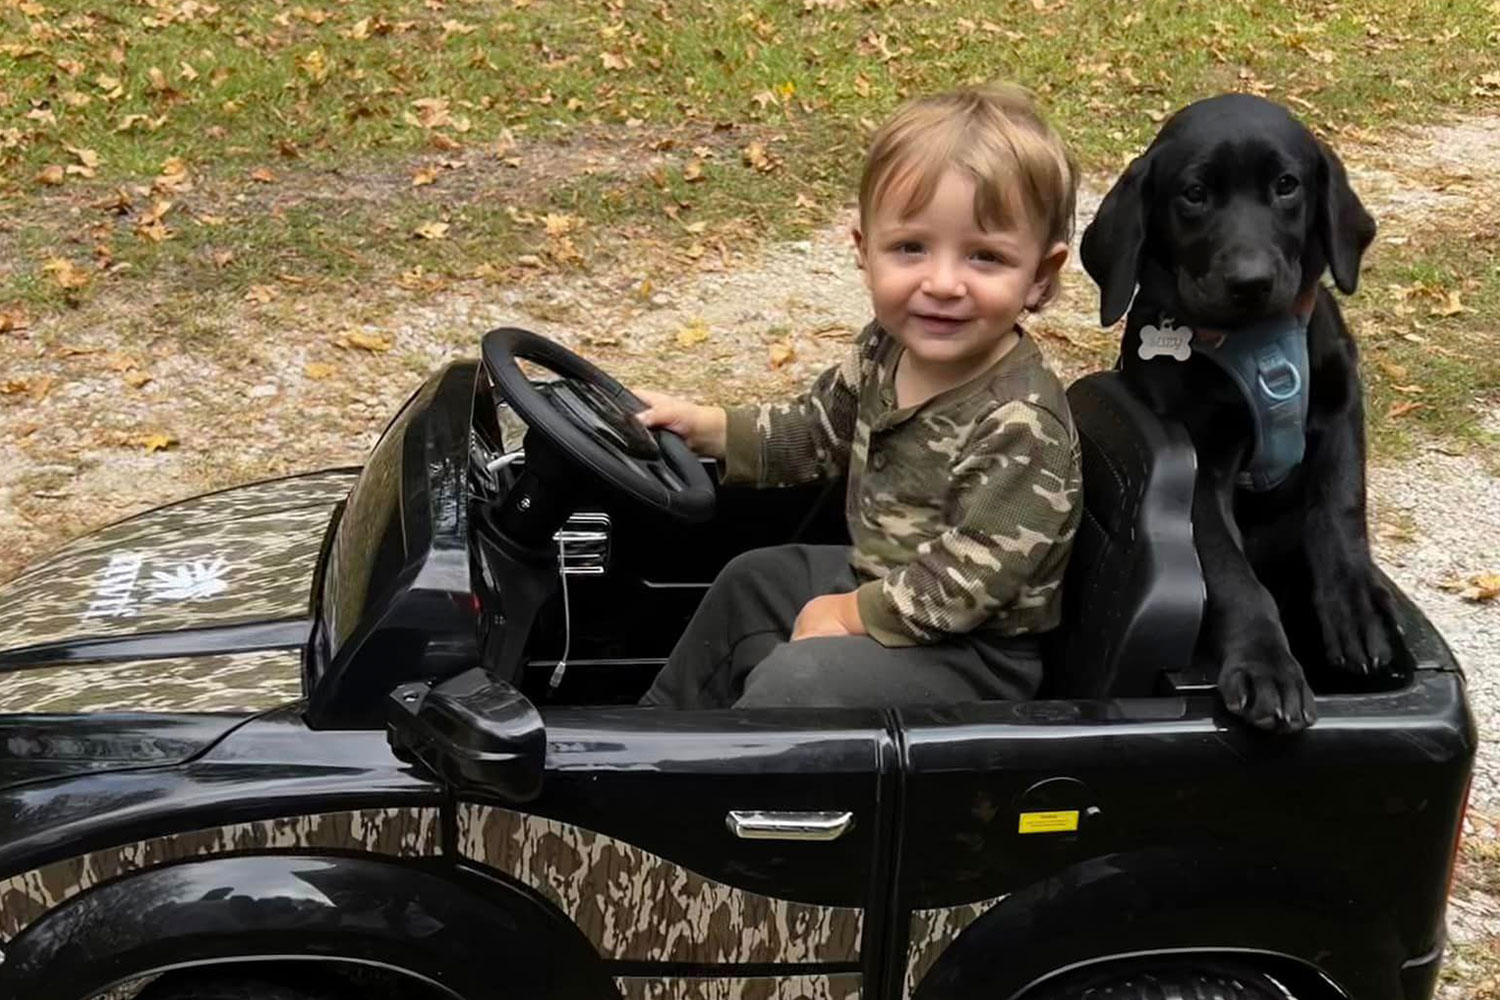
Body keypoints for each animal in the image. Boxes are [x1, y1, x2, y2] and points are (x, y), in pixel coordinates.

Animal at [1080, 95, 1392, 734]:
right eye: (1195, 194)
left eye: (1286, 186)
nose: (1250, 281)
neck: (1255, 339)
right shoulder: (1201, 469)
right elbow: (1233, 576)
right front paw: (1266, 666)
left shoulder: (1340, 406)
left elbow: (1339, 509)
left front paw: (1354, 609)